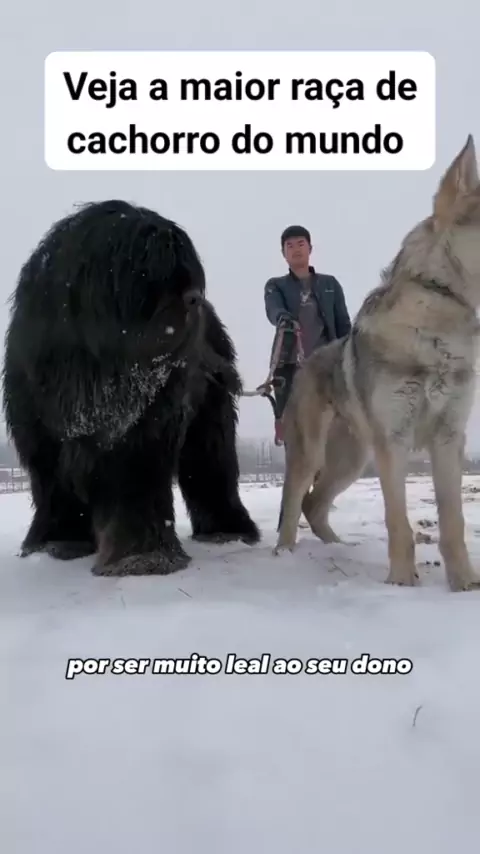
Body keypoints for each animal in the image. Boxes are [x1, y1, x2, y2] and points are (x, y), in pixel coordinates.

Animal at [3, 199, 260, 576]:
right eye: (147, 266)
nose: (194, 298)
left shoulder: (144, 431)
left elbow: (136, 486)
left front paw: (142, 557)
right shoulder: (40, 432)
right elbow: (54, 488)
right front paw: (58, 542)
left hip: (210, 414)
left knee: (212, 465)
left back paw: (227, 531)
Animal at [274, 134, 480, 592]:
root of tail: (306, 360)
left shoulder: (448, 438)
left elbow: (453, 523)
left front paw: (465, 584)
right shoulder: (395, 441)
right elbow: (398, 521)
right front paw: (402, 583)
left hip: (352, 461)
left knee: (315, 504)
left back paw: (338, 549)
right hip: (314, 455)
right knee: (294, 503)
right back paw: (286, 557)